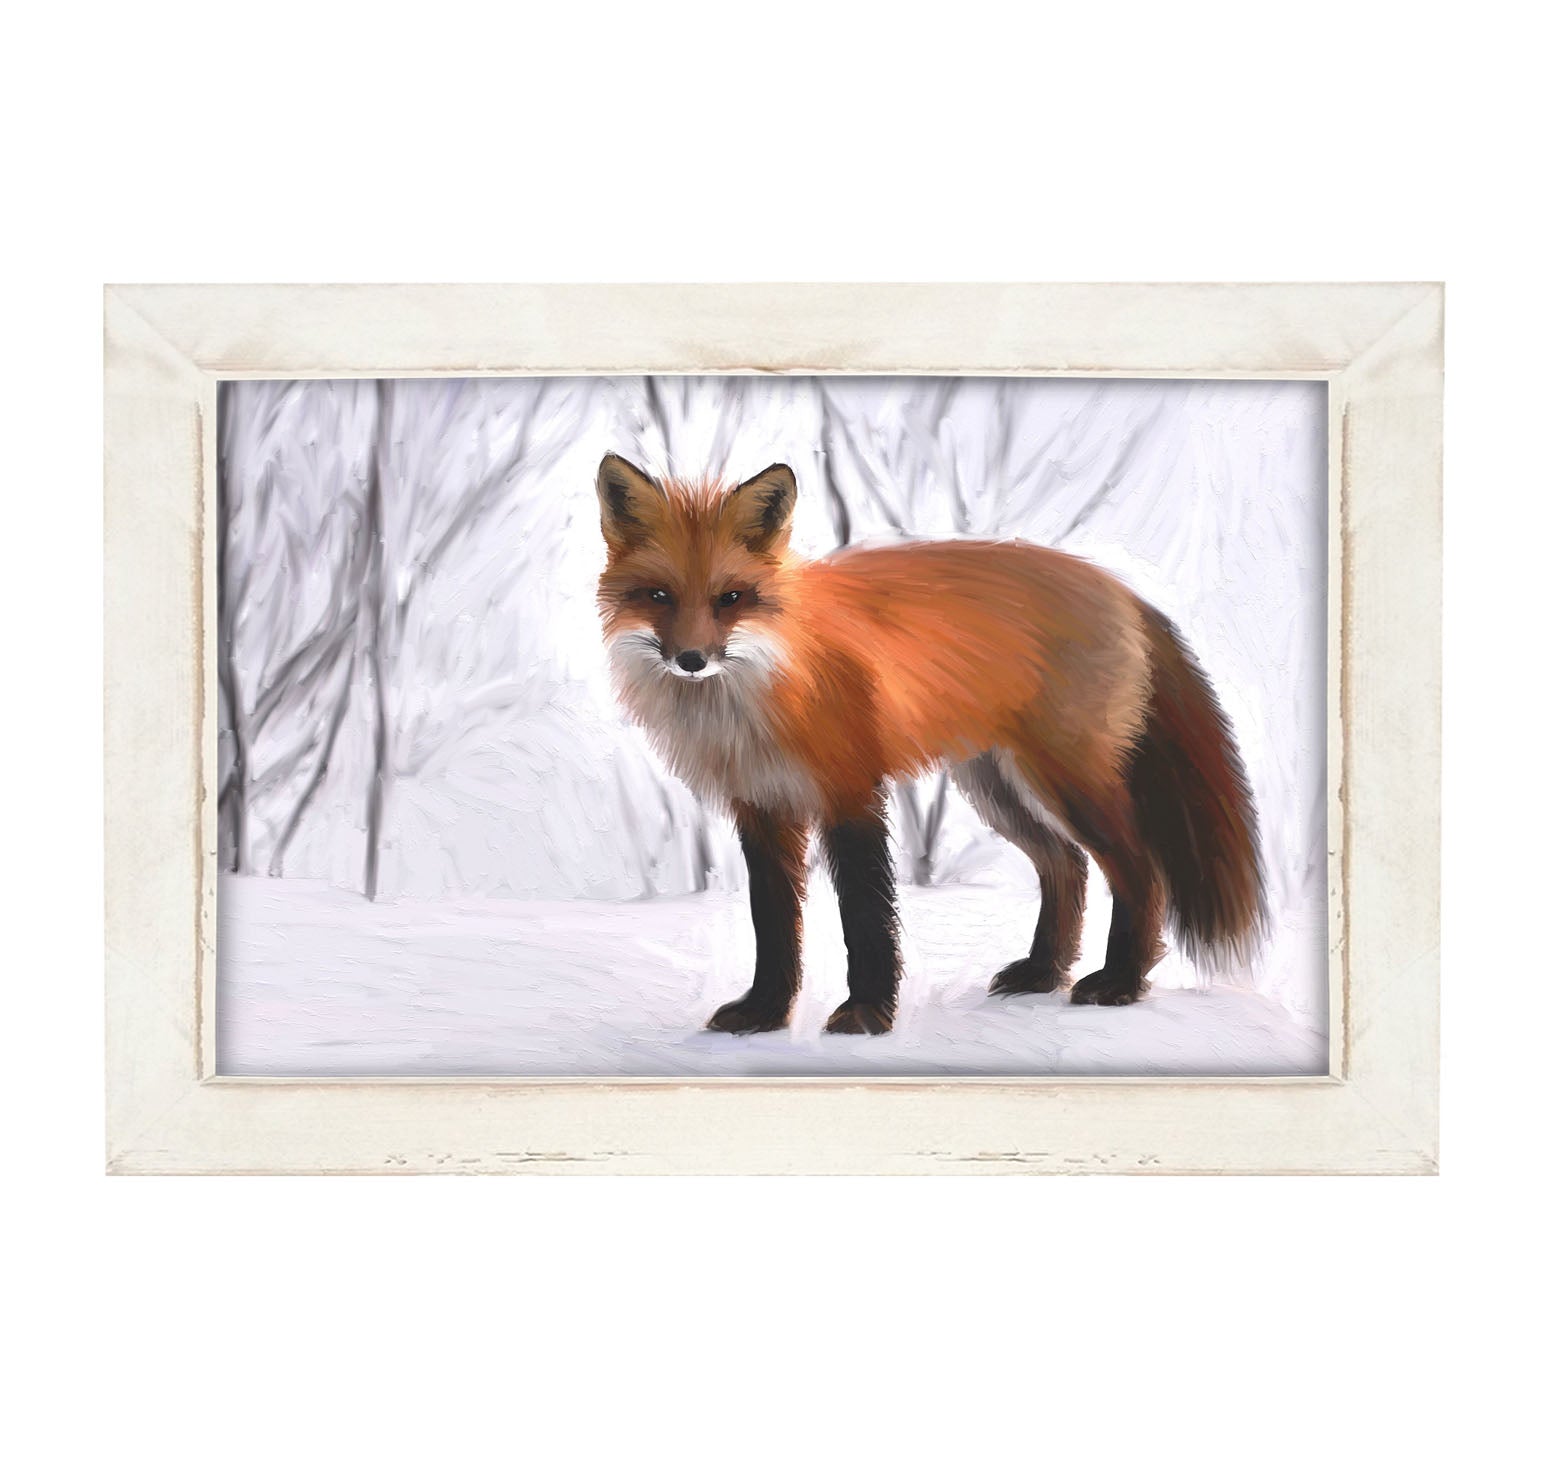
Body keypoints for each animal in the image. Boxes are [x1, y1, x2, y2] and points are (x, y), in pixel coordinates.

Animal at [596, 452, 1264, 1036]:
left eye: (730, 598)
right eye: (659, 596)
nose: (691, 660)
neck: (761, 692)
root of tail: (1119, 587)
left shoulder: (851, 793)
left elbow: (865, 916)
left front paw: (866, 1015)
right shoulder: (761, 808)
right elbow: (774, 923)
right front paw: (764, 1013)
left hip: (1068, 781)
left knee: (1138, 869)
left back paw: (1120, 983)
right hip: (996, 788)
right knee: (1065, 865)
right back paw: (1043, 972)